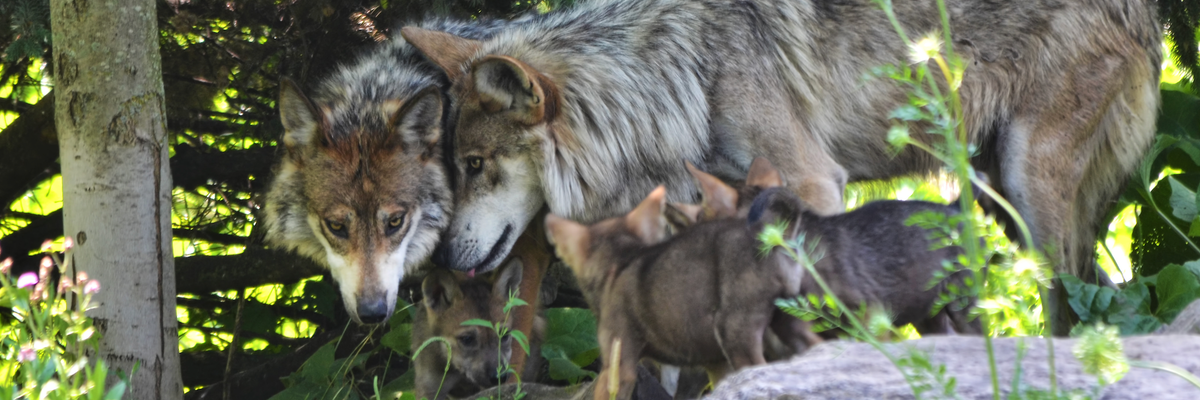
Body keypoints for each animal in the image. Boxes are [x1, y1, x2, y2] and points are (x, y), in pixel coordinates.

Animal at [402, 0, 1160, 334]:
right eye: (452, 166)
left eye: (475, 164)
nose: (440, 261)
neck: (673, 77)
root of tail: (1152, 17)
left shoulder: (813, 184)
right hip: (992, 193)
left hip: (1029, 192)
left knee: (1068, 297)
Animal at [546, 186, 823, 400]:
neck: (621, 260)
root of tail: (772, 235)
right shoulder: (715, 362)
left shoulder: (619, 362)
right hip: (791, 320)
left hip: (737, 332)